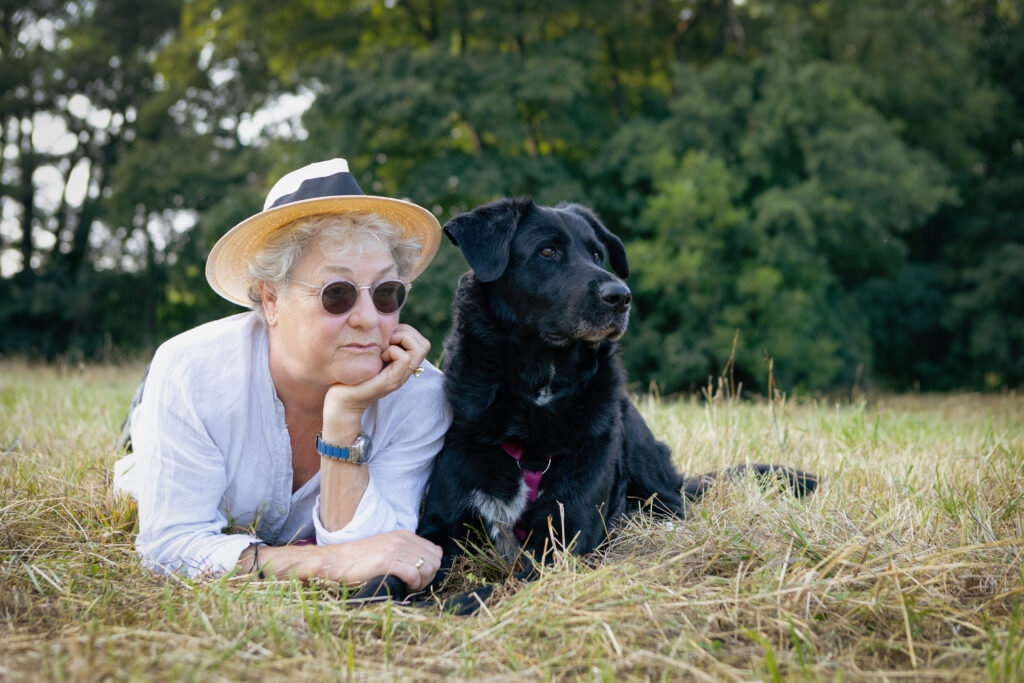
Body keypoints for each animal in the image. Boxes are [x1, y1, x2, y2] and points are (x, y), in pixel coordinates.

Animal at [358, 198, 815, 614]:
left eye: (597, 255)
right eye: (547, 251)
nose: (621, 296)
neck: (538, 392)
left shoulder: (565, 541)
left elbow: (504, 585)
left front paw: (457, 603)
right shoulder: (440, 524)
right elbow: (394, 570)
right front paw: (367, 597)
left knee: (671, 502)